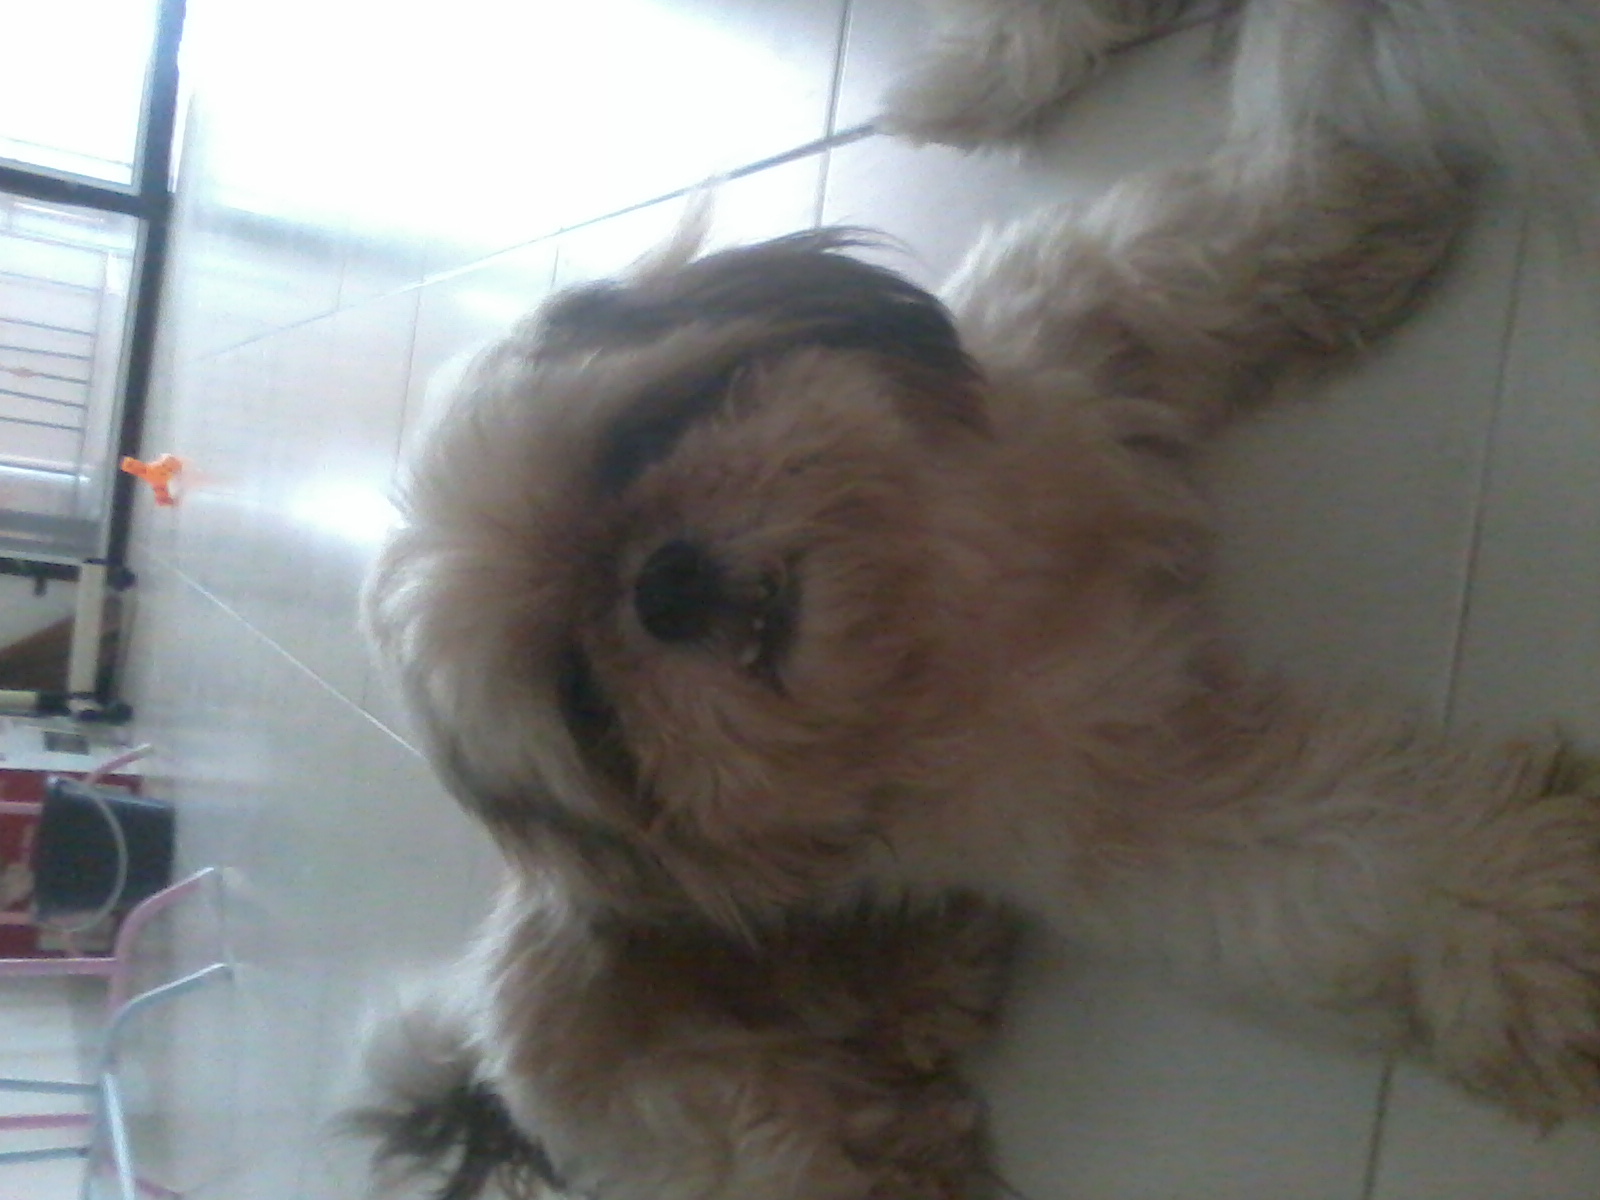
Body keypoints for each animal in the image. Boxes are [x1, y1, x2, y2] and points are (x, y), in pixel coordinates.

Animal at [353, 3, 1600, 1197]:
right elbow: (1355, 859)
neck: (935, 585)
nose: (663, 586)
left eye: (633, 444)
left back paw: (938, 975)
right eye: (583, 698)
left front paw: (1353, 152)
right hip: (733, 1126)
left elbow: (1212, 244)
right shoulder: (1118, 796)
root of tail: (488, 1064)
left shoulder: (1080, 318)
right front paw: (1535, 910)